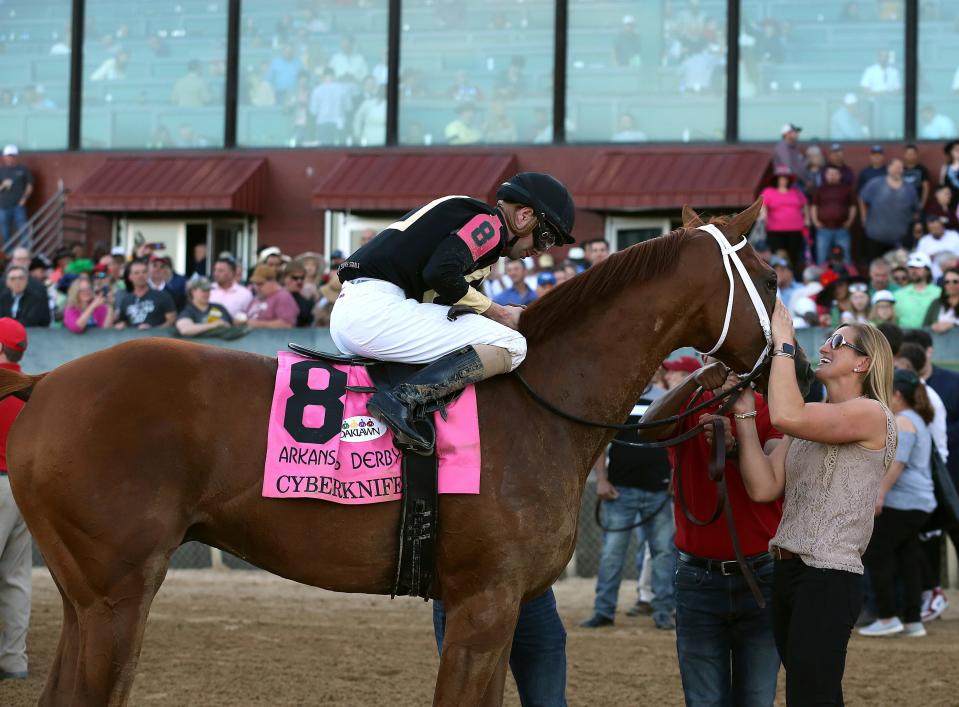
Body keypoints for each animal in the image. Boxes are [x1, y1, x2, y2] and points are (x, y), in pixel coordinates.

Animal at [3, 202, 776, 704]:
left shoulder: (495, 607)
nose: (781, 367)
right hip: (118, 592)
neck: (540, 400)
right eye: (767, 281)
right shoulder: (483, 605)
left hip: (86, 596)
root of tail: (46, 381)